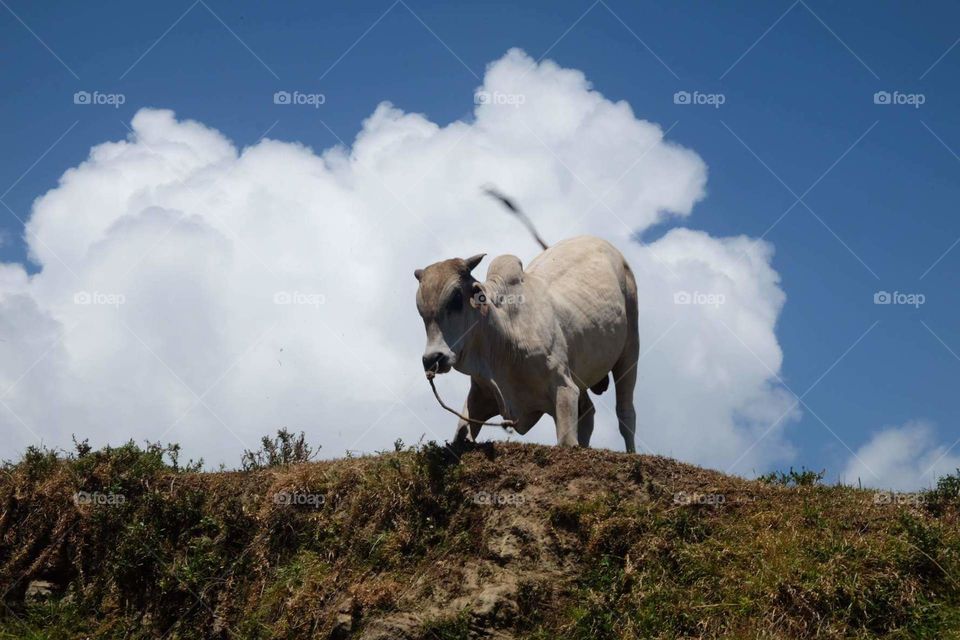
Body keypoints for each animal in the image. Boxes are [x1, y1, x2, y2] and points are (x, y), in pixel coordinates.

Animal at [412, 192, 636, 452]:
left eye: (456, 299)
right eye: (420, 311)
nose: (432, 359)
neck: (504, 335)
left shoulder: (564, 388)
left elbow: (566, 441)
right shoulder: (479, 395)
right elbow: (461, 433)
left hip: (630, 347)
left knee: (626, 413)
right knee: (589, 412)